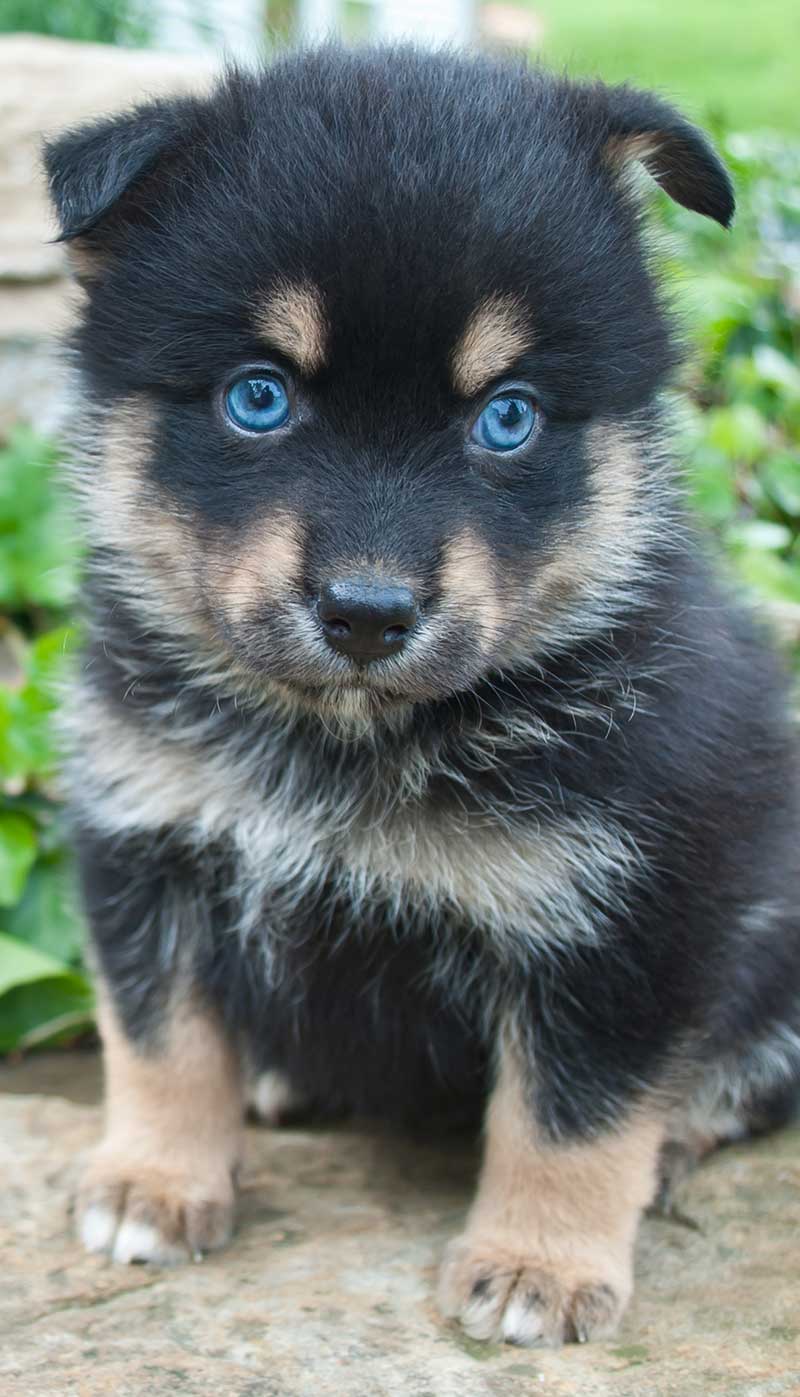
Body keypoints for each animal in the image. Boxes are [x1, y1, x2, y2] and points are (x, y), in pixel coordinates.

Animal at [45, 49, 798, 1346]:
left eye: (507, 414)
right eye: (257, 396)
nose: (365, 613)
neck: (344, 738)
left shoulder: (629, 904)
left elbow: (574, 1106)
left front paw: (538, 1262)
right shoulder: (148, 836)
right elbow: (159, 1033)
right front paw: (153, 1180)